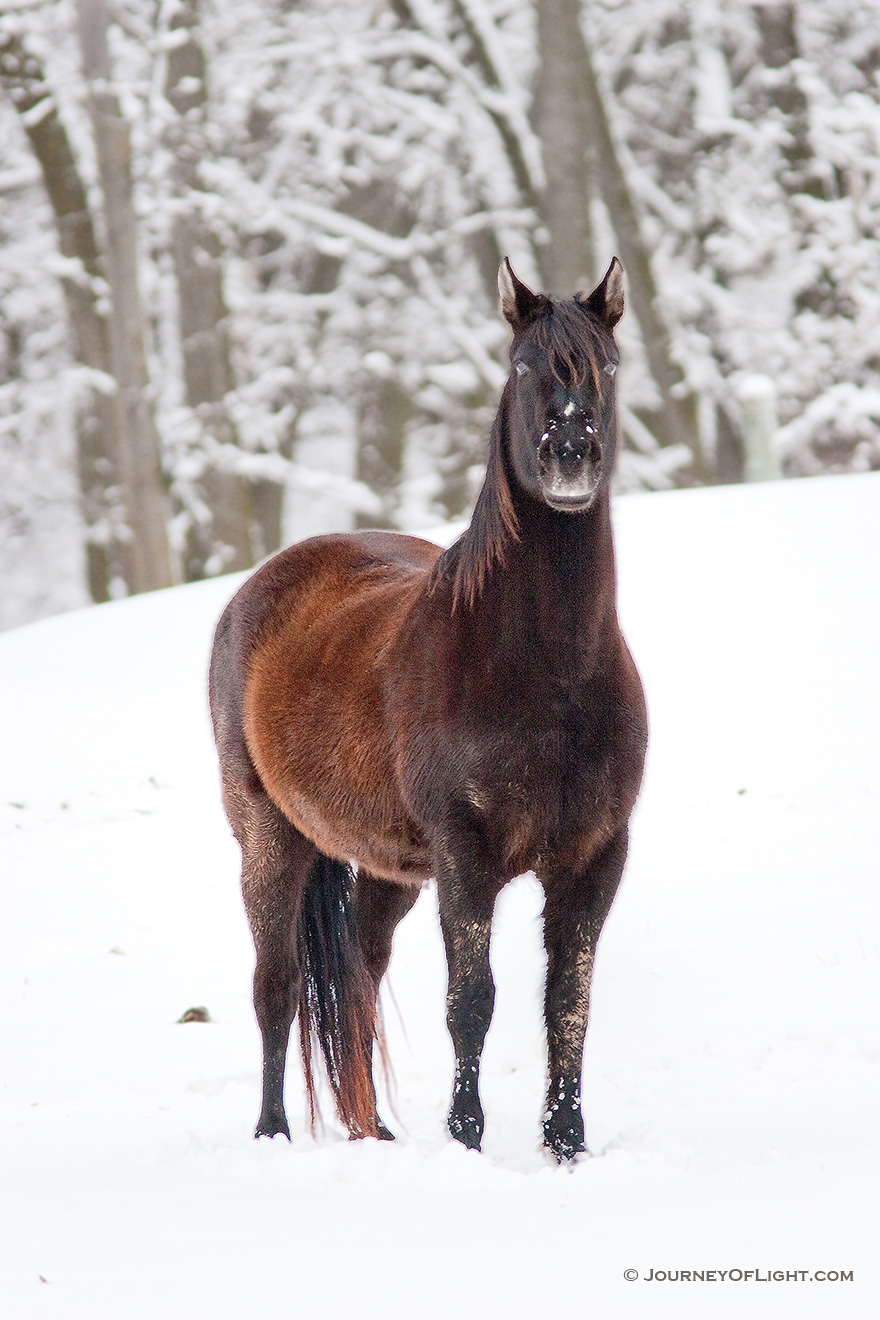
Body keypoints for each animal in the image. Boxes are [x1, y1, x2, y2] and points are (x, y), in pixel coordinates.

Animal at [208, 260, 646, 1166]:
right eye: (524, 364)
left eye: (609, 366)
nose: (571, 458)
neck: (550, 674)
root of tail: (258, 588)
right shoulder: (465, 853)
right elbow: (471, 1001)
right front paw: (467, 1140)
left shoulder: (595, 856)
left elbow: (568, 1005)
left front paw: (566, 1146)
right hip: (268, 838)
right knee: (276, 987)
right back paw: (272, 1132)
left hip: (387, 870)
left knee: (359, 975)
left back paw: (372, 1130)